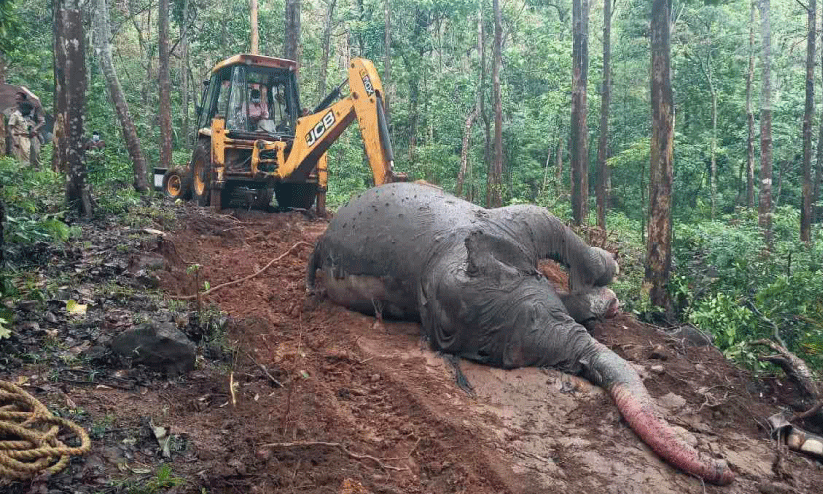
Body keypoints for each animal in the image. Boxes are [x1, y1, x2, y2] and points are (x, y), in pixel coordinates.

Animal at [306, 182, 733, 485]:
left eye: (537, 314)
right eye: (491, 354)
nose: (723, 468)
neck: (438, 259)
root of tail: (321, 240)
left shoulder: (512, 223)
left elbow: (560, 232)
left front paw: (610, 276)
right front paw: (607, 300)